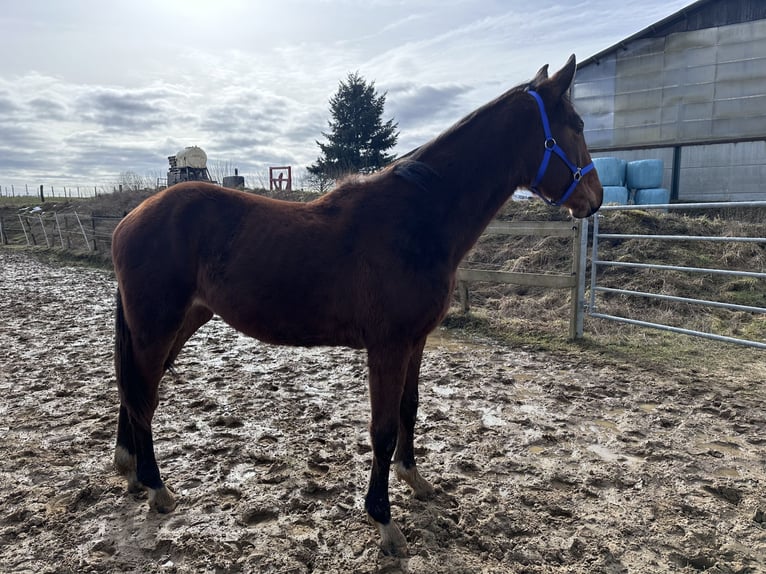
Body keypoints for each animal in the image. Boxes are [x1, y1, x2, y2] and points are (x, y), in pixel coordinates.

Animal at [111, 54, 602, 558]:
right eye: (578, 125)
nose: (595, 198)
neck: (416, 220)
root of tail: (130, 219)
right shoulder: (387, 346)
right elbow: (382, 429)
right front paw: (384, 522)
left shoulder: (415, 342)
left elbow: (409, 408)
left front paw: (414, 479)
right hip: (156, 326)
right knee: (142, 395)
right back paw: (156, 487)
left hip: (180, 321)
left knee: (135, 389)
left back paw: (131, 472)